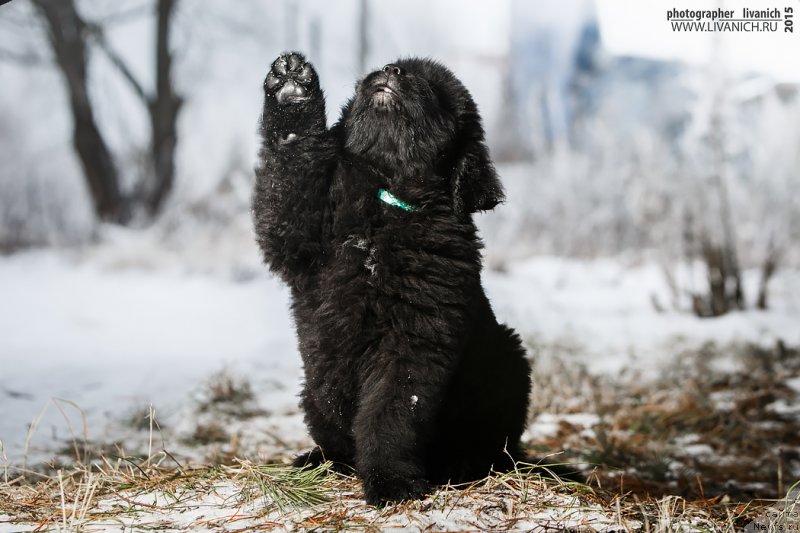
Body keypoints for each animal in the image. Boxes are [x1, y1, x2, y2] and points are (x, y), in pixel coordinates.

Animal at [253, 52, 532, 504]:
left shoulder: (412, 340)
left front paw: (391, 482)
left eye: (433, 89)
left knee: (493, 446)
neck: (384, 198)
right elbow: (288, 175)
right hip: (312, 395)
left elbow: (390, 414)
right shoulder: (297, 238)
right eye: (396, 65)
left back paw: (462, 466)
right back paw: (317, 460)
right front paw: (291, 93)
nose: (392, 71)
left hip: (509, 359)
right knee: (334, 440)